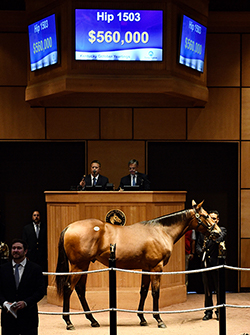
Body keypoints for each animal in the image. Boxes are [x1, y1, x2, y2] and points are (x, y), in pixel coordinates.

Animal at [55, 201, 221, 330]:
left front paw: (142, 319)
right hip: (78, 265)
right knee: (69, 288)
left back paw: (93, 320)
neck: (161, 231)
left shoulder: (147, 268)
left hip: (84, 266)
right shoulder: (156, 268)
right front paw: (159, 320)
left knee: (80, 290)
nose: (218, 233)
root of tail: (69, 227)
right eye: (206, 216)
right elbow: (155, 293)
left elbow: (143, 292)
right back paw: (68, 322)